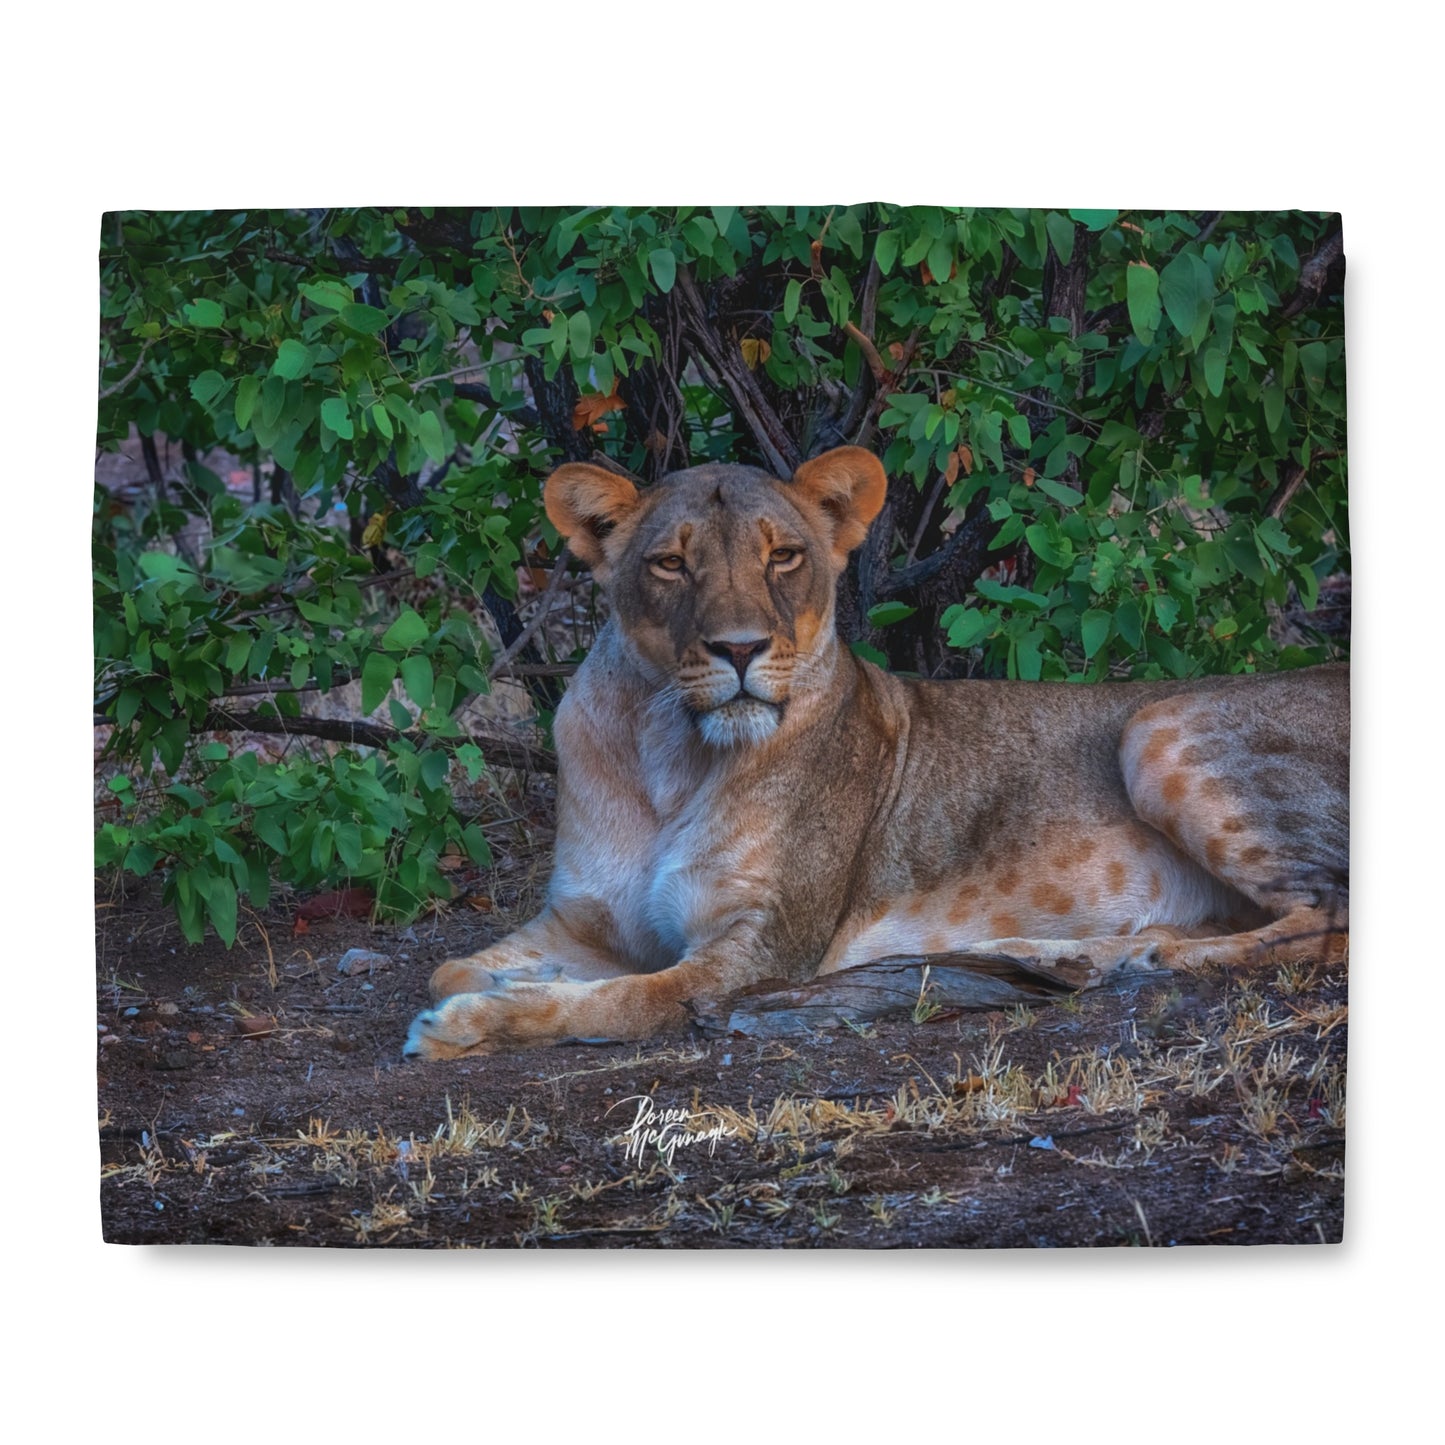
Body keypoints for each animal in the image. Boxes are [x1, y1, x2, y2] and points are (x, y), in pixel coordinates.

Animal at [405, 446, 1348, 1059]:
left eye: (784, 556)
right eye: (670, 564)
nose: (739, 649)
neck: (667, 750)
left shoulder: (760, 950)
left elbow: (621, 998)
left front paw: (472, 1023)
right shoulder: (579, 919)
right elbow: (447, 967)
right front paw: (480, 991)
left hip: (1155, 723)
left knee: (1323, 918)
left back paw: (1139, 955)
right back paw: (1072, 954)